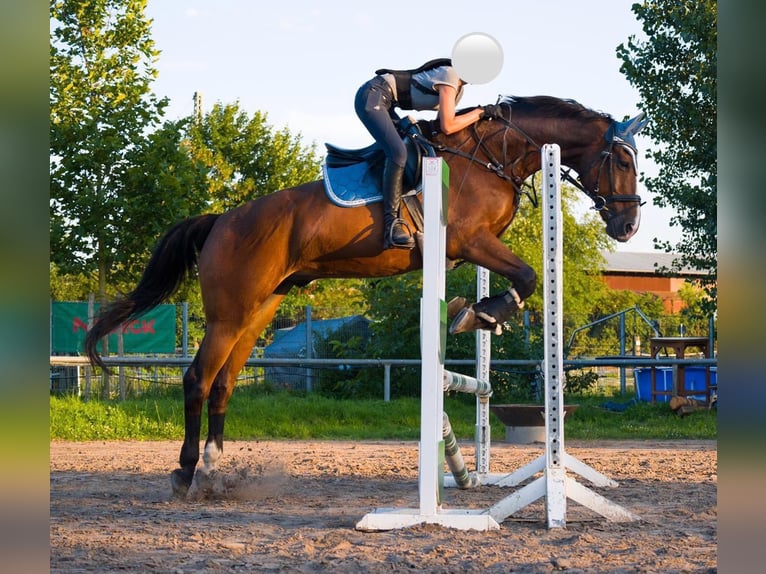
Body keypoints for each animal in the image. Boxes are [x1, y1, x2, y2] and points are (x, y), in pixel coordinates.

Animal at [84, 95, 648, 497]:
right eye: (622, 160)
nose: (627, 226)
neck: (492, 156)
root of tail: (221, 219)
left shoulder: (472, 249)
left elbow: (521, 279)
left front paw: (480, 313)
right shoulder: (470, 241)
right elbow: (529, 276)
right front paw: (481, 314)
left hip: (258, 311)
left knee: (223, 383)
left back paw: (214, 467)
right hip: (228, 314)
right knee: (198, 380)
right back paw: (184, 473)